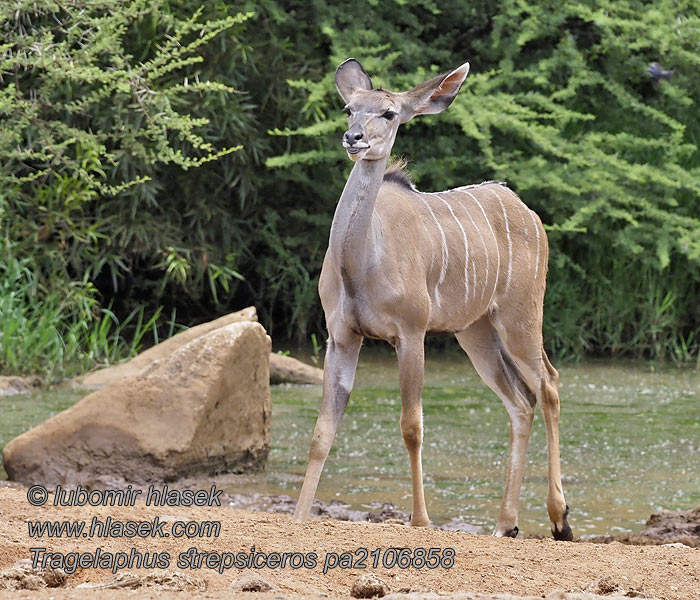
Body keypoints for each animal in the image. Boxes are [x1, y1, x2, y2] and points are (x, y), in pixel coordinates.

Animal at [296, 58, 576, 540]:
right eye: (349, 109)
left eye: (389, 113)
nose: (354, 138)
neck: (361, 261)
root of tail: (530, 214)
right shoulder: (342, 336)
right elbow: (323, 430)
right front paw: (296, 515)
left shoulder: (410, 333)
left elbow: (412, 425)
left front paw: (421, 520)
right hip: (475, 332)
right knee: (521, 401)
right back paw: (505, 524)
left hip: (520, 317)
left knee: (549, 385)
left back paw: (559, 519)